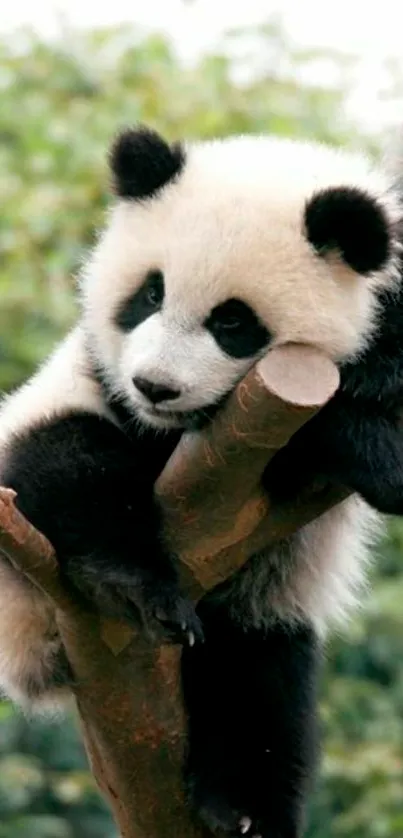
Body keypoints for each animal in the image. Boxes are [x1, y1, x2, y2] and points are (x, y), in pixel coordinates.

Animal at [0, 126, 403, 838]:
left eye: (233, 321)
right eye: (150, 294)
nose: (154, 386)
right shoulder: (101, 383)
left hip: (261, 606)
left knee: (259, 681)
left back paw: (244, 807)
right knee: (67, 460)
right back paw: (132, 584)